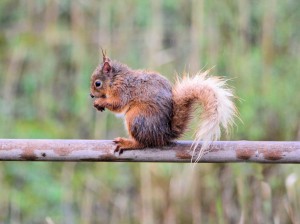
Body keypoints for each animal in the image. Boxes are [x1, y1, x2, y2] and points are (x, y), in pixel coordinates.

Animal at [89, 51, 237, 159]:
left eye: (98, 83)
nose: (91, 95)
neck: (116, 79)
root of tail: (163, 134)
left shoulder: (123, 90)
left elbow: (118, 104)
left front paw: (100, 102)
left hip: (136, 117)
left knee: (142, 143)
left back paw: (127, 143)